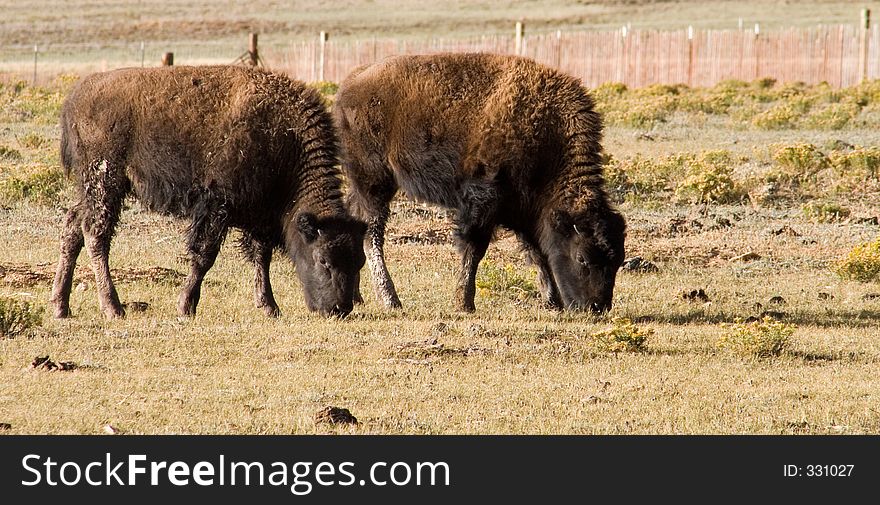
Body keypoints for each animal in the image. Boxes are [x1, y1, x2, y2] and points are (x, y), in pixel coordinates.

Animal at [49, 65, 366, 318]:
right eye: (323, 260)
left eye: (359, 261)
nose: (340, 308)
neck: (286, 140)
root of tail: (75, 98)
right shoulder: (216, 206)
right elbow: (205, 255)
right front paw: (186, 306)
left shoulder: (261, 215)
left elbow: (261, 256)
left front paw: (269, 306)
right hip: (106, 181)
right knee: (95, 233)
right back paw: (113, 308)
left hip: (92, 188)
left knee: (72, 227)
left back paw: (61, 307)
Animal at [332, 51, 624, 312]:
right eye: (582, 258)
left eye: (618, 260)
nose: (597, 307)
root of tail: (351, 83)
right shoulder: (481, 201)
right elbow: (475, 249)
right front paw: (464, 303)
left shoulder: (526, 210)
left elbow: (538, 252)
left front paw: (553, 302)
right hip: (374, 181)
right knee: (373, 233)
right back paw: (391, 300)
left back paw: (358, 296)